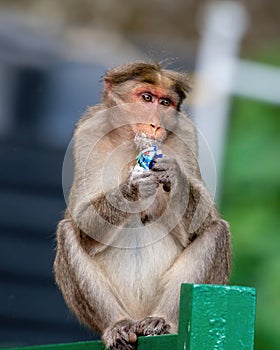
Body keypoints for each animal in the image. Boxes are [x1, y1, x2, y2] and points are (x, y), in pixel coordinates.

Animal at [53, 61, 231, 348]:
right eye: (147, 98)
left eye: (165, 102)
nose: (155, 125)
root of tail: (138, 314)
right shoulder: (87, 131)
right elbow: (82, 222)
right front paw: (133, 188)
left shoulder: (186, 133)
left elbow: (203, 221)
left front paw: (174, 174)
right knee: (67, 231)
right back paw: (117, 325)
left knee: (217, 230)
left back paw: (161, 321)